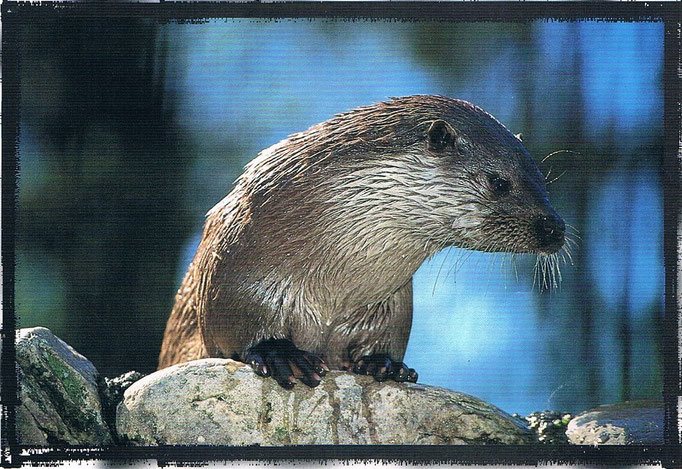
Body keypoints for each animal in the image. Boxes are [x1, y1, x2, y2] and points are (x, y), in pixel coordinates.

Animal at [158, 94, 564, 388]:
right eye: (499, 182)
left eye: (543, 182)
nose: (555, 227)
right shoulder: (240, 260)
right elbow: (232, 326)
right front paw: (281, 354)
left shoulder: (391, 298)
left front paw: (382, 363)